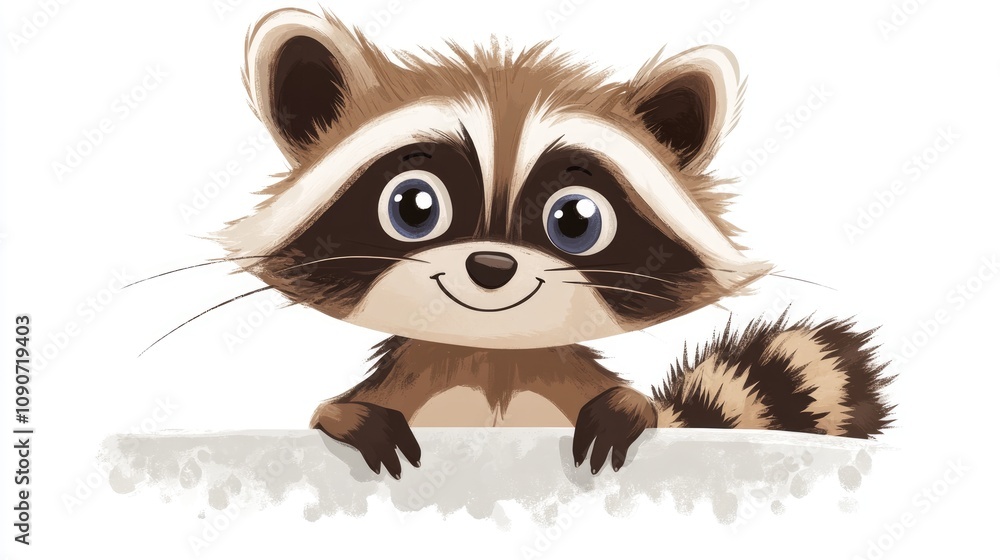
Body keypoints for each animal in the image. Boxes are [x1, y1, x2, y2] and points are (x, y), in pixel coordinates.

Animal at [210, 8, 891, 477]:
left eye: (575, 219)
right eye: (413, 206)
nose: (491, 265)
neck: (492, 358)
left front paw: (628, 407)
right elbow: (343, 409)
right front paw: (347, 416)